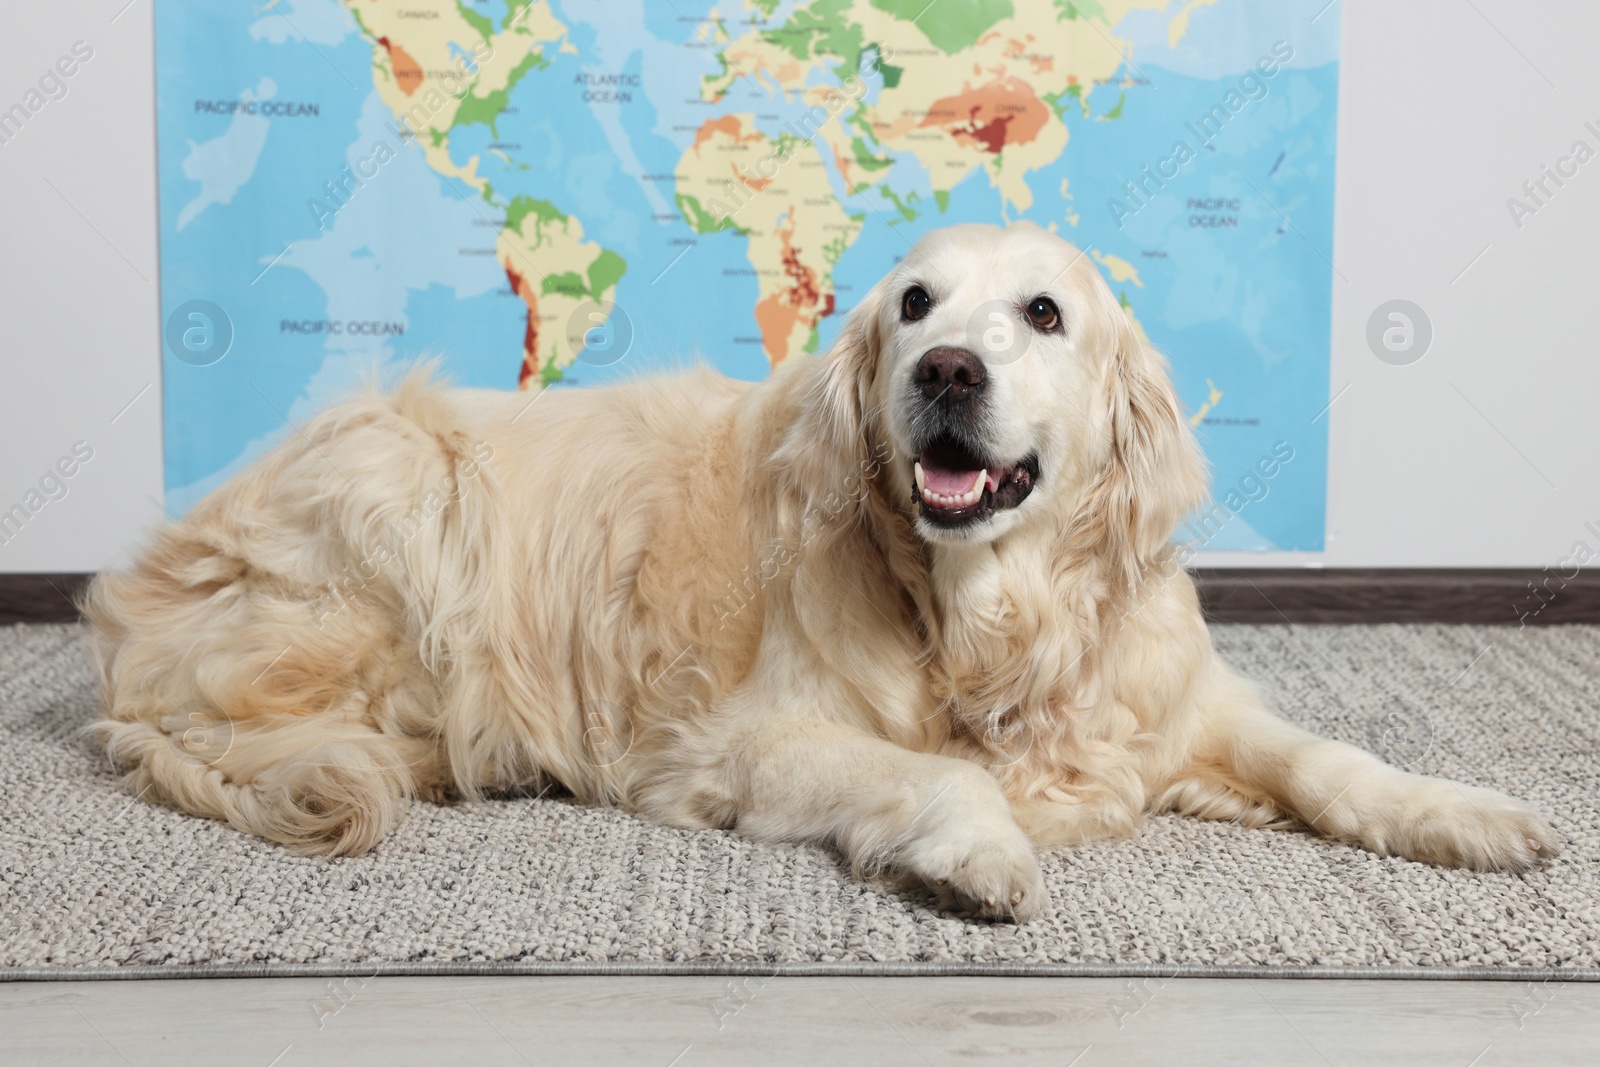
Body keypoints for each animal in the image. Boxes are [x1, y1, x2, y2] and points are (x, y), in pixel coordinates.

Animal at [84, 223, 1548, 921]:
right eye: (914, 304)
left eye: (1042, 313)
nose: (945, 370)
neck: (983, 615)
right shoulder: (746, 742)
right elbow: (948, 774)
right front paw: (982, 850)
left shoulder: (1172, 699)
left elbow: (1332, 757)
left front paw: (1465, 810)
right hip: (403, 482)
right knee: (245, 721)